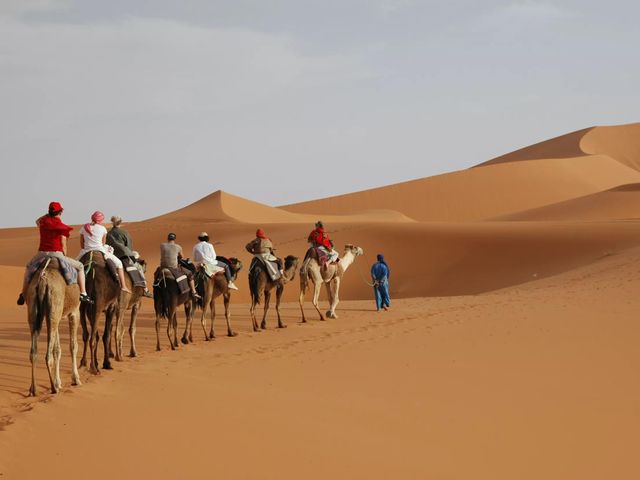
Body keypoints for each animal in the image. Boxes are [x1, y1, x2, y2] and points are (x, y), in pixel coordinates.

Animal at [26, 256, 81, 396]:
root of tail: (43, 281)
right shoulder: (74, 312)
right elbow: (73, 346)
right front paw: (75, 379)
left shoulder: (57, 316)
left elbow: (57, 349)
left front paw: (58, 382)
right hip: (55, 306)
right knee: (48, 355)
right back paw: (53, 388)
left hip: (36, 310)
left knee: (33, 352)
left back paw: (33, 389)